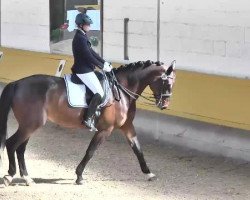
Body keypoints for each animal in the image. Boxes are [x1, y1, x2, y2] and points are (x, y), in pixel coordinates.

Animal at [0, 59, 176, 186]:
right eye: (167, 82)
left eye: (173, 83)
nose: (165, 105)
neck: (122, 90)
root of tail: (17, 83)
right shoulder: (105, 130)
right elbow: (90, 151)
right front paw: (79, 176)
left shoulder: (127, 127)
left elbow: (138, 149)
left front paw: (149, 173)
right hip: (30, 125)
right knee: (11, 144)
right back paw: (10, 176)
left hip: (29, 125)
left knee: (20, 148)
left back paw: (27, 178)